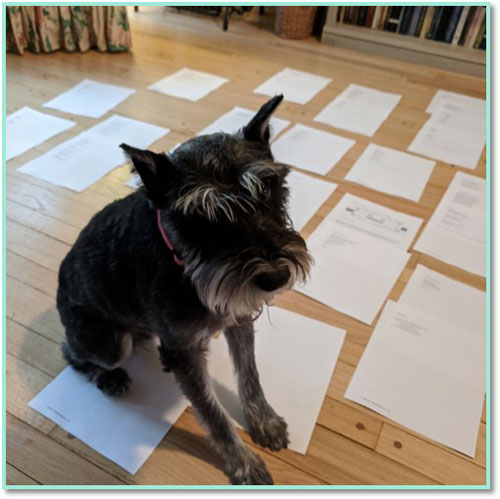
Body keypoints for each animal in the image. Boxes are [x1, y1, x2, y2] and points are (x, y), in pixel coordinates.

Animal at [57, 95, 308, 486]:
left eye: (268, 190)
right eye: (203, 218)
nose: (275, 277)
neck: (181, 260)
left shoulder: (239, 320)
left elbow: (250, 376)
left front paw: (264, 421)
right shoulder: (186, 355)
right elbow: (214, 415)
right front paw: (243, 463)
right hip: (108, 341)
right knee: (72, 353)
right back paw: (108, 376)